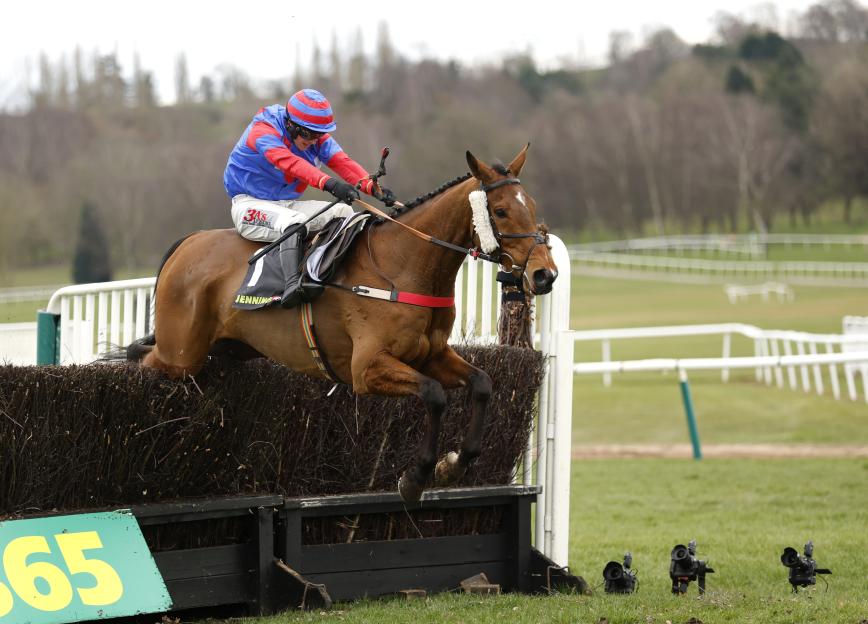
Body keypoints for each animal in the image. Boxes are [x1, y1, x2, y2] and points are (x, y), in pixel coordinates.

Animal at [129, 145, 558, 502]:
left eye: (533, 206)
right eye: (500, 211)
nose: (544, 275)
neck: (404, 264)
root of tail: (188, 243)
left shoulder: (432, 354)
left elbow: (483, 384)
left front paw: (453, 465)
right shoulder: (366, 369)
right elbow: (434, 394)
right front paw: (416, 477)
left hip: (225, 351)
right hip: (180, 354)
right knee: (142, 360)